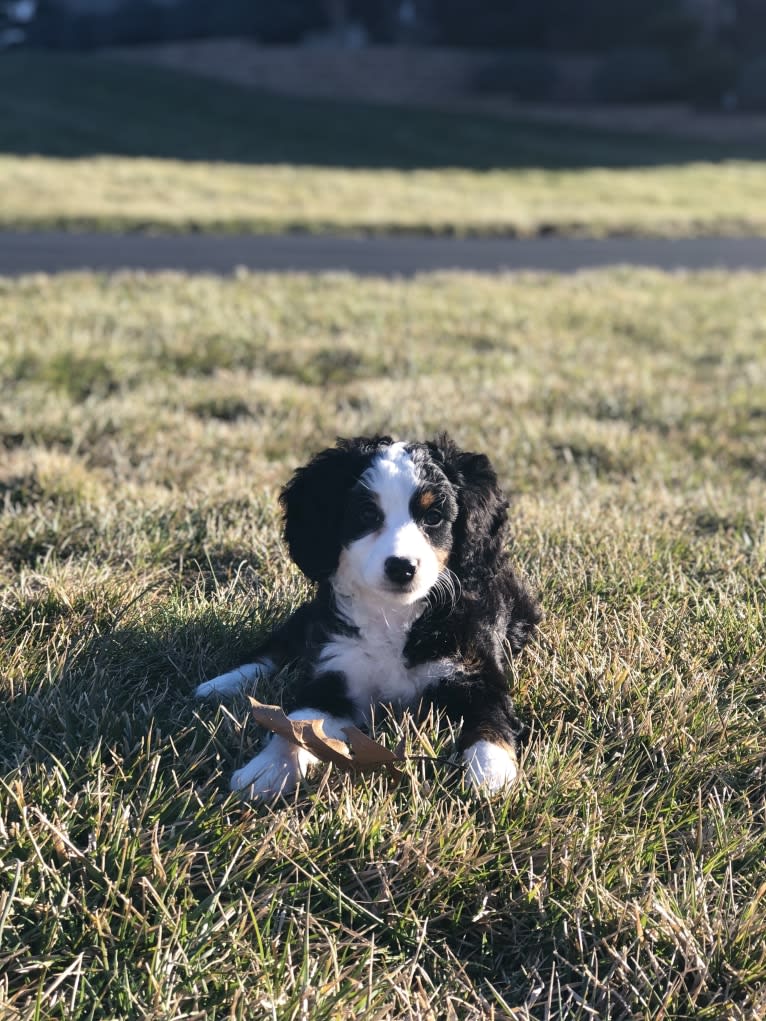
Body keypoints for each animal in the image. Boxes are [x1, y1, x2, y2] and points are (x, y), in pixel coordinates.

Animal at [198, 430, 547, 796]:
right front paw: (267, 767)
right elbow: (299, 725)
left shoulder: (476, 674)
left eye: (433, 517)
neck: (394, 614)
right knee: (282, 645)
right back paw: (220, 684)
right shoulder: (336, 673)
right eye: (367, 514)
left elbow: (490, 724)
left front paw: (491, 776)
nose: (401, 567)